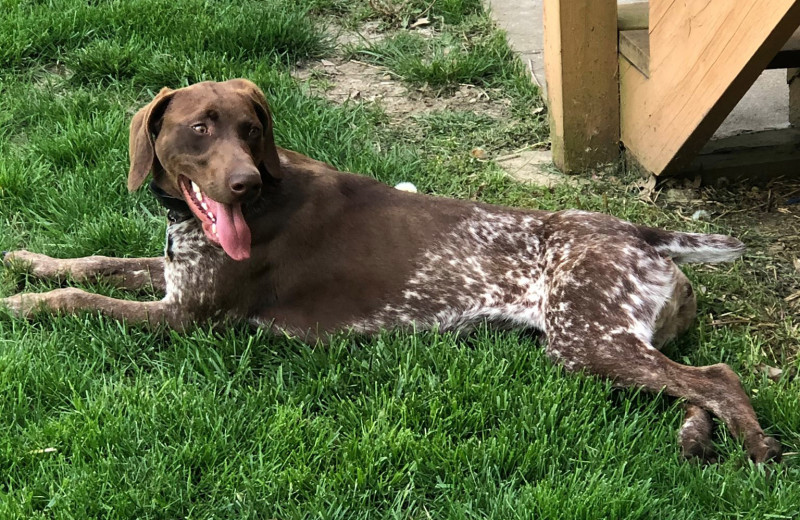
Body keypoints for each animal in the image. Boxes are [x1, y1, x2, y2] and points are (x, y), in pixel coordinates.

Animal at [3, 80, 780, 464]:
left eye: (251, 130)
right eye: (200, 129)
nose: (244, 184)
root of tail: (637, 229)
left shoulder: (186, 318)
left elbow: (77, 299)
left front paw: (20, 305)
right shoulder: (171, 280)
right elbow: (92, 261)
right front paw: (25, 260)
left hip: (585, 340)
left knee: (717, 378)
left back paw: (756, 446)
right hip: (615, 342)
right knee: (693, 387)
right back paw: (696, 438)